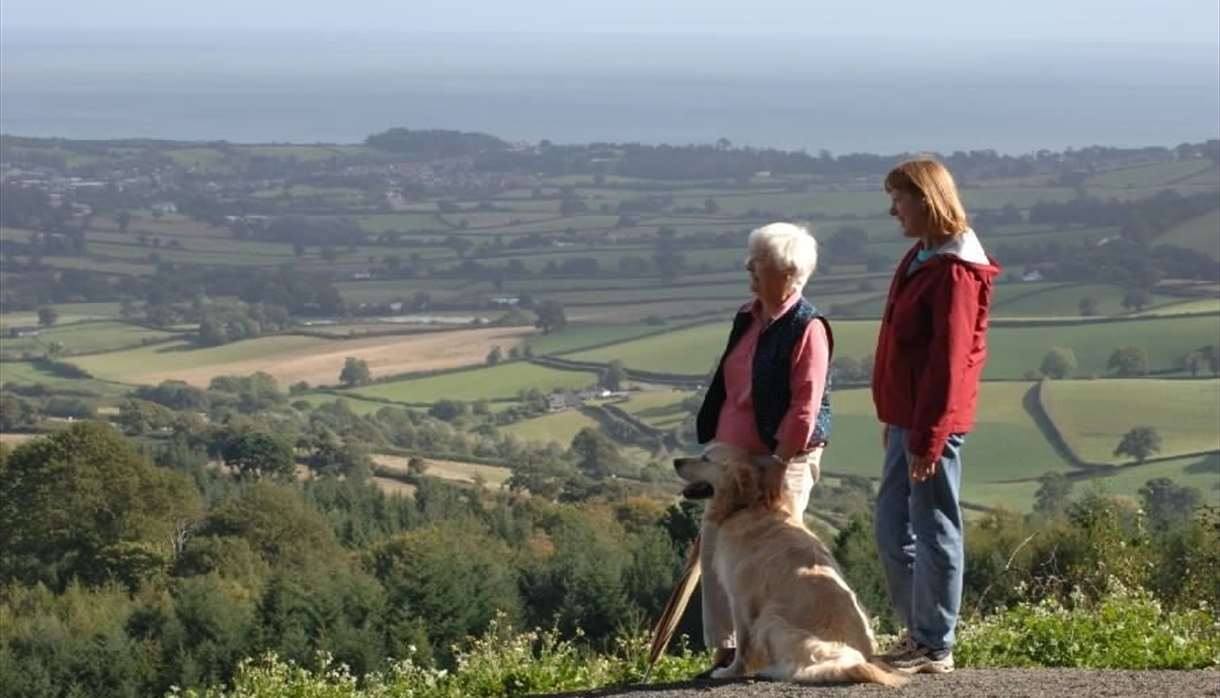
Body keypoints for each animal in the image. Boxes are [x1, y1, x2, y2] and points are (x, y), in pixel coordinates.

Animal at [678, 444, 907, 683]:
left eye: (705, 458)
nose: (676, 462)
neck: (746, 506)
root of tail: (854, 657)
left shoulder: (741, 600)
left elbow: (743, 646)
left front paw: (730, 671)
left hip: (771, 617)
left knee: (801, 669)